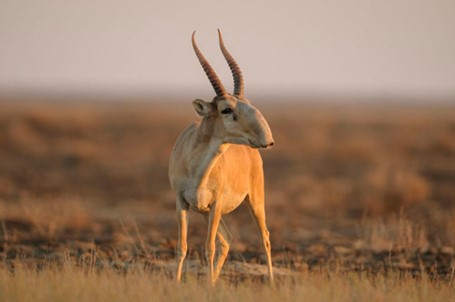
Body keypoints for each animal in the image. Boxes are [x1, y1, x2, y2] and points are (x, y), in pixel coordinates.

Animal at [168, 29, 272, 284]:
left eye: (248, 104)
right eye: (226, 109)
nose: (267, 139)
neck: (196, 167)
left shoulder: (215, 205)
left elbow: (209, 247)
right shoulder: (181, 201)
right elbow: (183, 247)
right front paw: (177, 284)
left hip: (254, 201)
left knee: (264, 236)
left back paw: (272, 282)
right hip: (205, 212)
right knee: (228, 239)